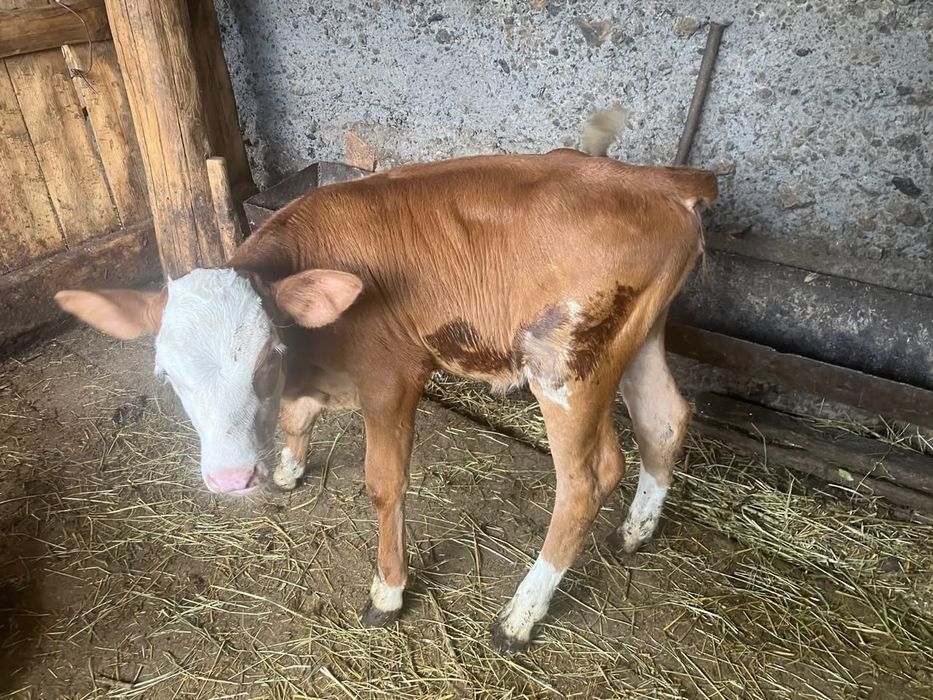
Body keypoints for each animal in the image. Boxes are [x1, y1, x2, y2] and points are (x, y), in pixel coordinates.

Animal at [54, 119, 717, 652]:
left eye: (267, 357)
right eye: (168, 375)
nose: (229, 478)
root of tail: (660, 183)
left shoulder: (391, 377)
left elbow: (384, 483)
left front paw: (389, 591)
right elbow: (296, 415)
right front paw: (289, 468)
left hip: (564, 363)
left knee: (589, 475)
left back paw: (520, 615)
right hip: (639, 335)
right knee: (664, 419)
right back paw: (636, 530)